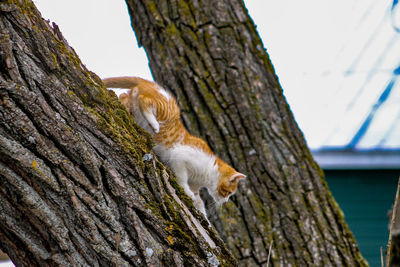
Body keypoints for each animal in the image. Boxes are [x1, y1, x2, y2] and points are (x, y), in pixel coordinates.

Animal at [102, 76, 247, 217]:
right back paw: (154, 124)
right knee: (144, 100)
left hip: (132, 106)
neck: (210, 170)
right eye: (228, 193)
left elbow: (199, 201)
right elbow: (182, 177)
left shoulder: (195, 185)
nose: (226, 201)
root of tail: (151, 85)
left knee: (124, 96)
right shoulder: (180, 156)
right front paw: (187, 192)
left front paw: (204, 216)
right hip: (164, 110)